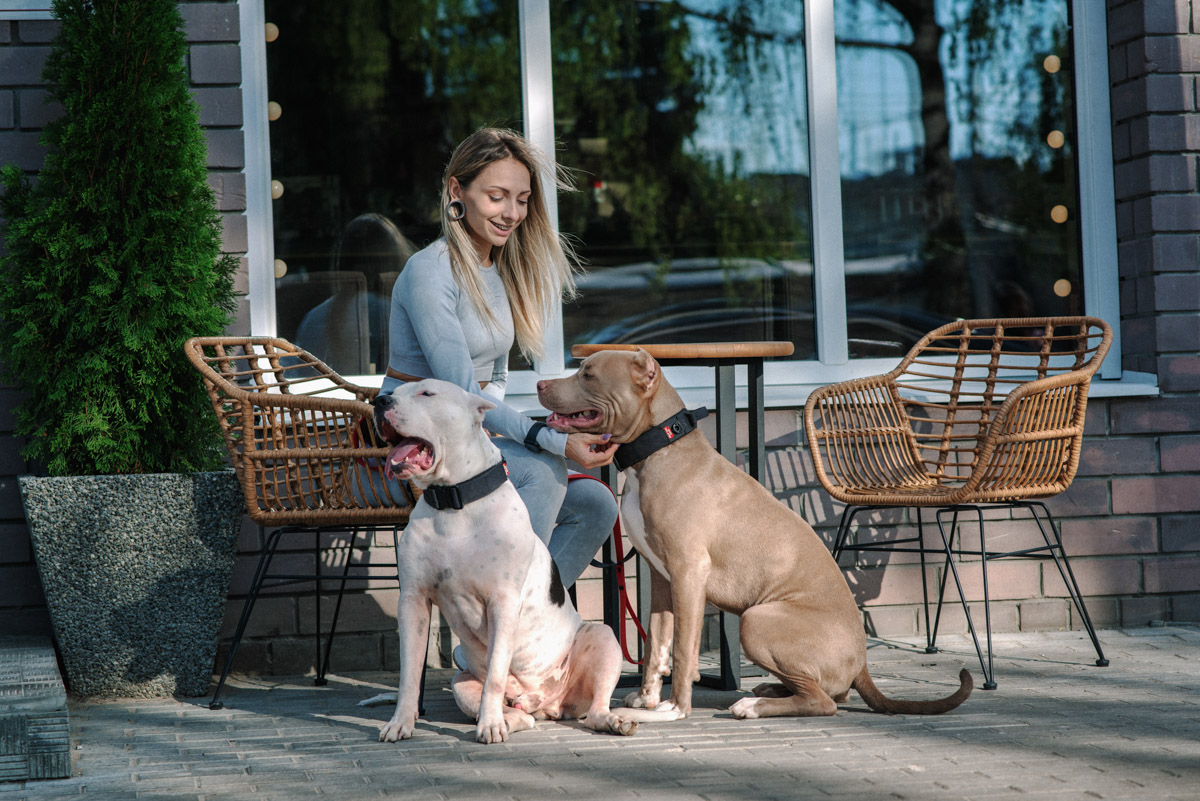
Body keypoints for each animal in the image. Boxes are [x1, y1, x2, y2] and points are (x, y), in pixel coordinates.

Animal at [540, 350, 969, 719]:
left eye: (588, 374)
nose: (541, 383)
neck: (658, 450)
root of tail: (862, 661)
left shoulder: (688, 572)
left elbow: (682, 649)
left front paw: (674, 708)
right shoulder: (663, 577)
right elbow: (658, 642)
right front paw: (647, 698)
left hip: (756, 620)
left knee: (823, 701)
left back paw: (753, 704)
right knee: (827, 692)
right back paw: (769, 691)